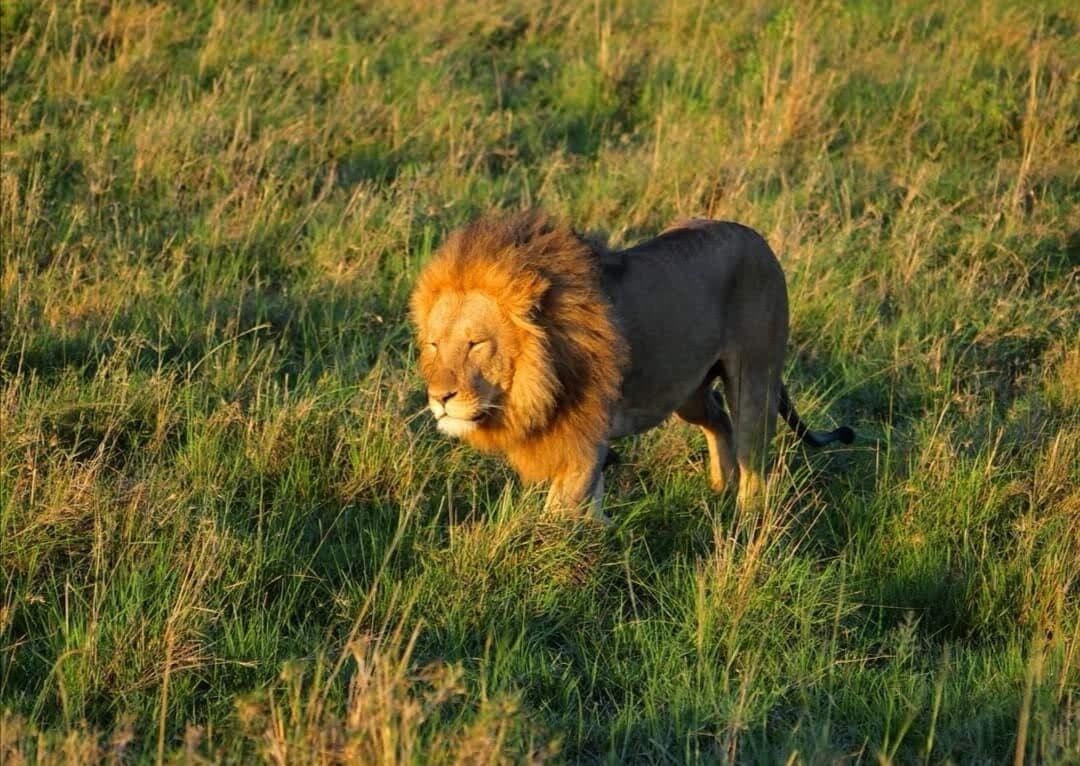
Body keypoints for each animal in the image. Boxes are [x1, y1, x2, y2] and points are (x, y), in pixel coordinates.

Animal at [410, 211, 854, 520]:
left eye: (476, 344)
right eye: (433, 345)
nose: (440, 398)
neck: (536, 381)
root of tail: (757, 239)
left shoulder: (584, 443)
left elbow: (555, 516)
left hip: (754, 377)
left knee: (752, 455)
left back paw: (745, 519)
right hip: (686, 391)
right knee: (718, 420)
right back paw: (720, 488)